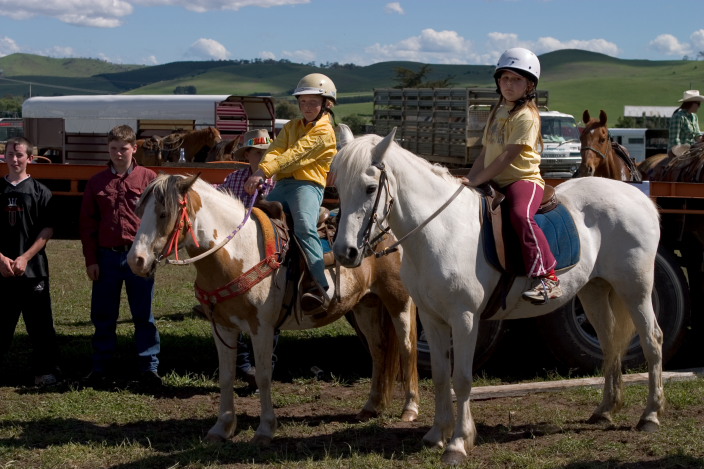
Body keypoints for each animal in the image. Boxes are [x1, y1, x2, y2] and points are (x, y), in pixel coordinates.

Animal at [126, 174, 418, 444]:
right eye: (139, 212)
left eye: (164, 213)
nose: (135, 261)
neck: (238, 251)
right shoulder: (223, 326)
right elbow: (226, 376)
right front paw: (222, 428)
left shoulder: (262, 328)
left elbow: (264, 376)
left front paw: (265, 429)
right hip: (365, 305)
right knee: (379, 351)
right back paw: (371, 407)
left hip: (398, 301)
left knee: (406, 349)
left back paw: (410, 409)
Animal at [332, 127, 664, 464]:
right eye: (338, 187)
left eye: (370, 187)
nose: (346, 253)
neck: (440, 231)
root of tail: (640, 198)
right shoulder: (431, 317)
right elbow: (440, 375)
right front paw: (437, 435)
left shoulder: (464, 318)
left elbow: (461, 379)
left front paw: (458, 443)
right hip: (595, 291)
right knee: (610, 343)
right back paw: (605, 410)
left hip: (635, 288)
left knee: (652, 339)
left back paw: (650, 415)